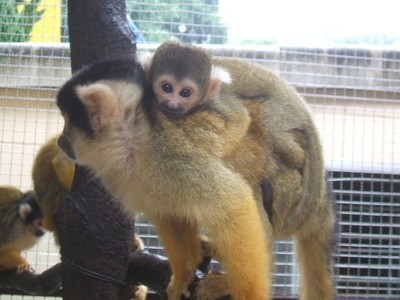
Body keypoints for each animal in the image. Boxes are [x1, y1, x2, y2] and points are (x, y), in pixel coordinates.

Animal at [54, 49, 336, 300]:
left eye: (68, 121)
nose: (61, 141)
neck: (135, 141)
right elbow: (169, 213)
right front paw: (184, 272)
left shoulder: (173, 156)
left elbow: (234, 202)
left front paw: (248, 294)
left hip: (290, 192)